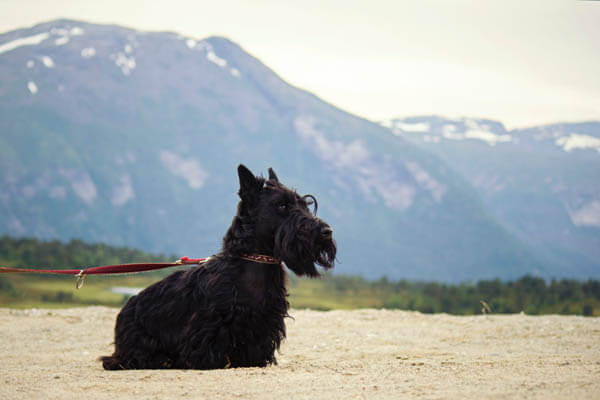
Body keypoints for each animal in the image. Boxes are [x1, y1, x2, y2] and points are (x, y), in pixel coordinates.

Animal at [101, 164, 336, 370]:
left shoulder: (264, 324)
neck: (255, 261)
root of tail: (125, 309)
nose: (326, 231)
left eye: (305, 204)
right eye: (282, 205)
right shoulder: (212, 324)